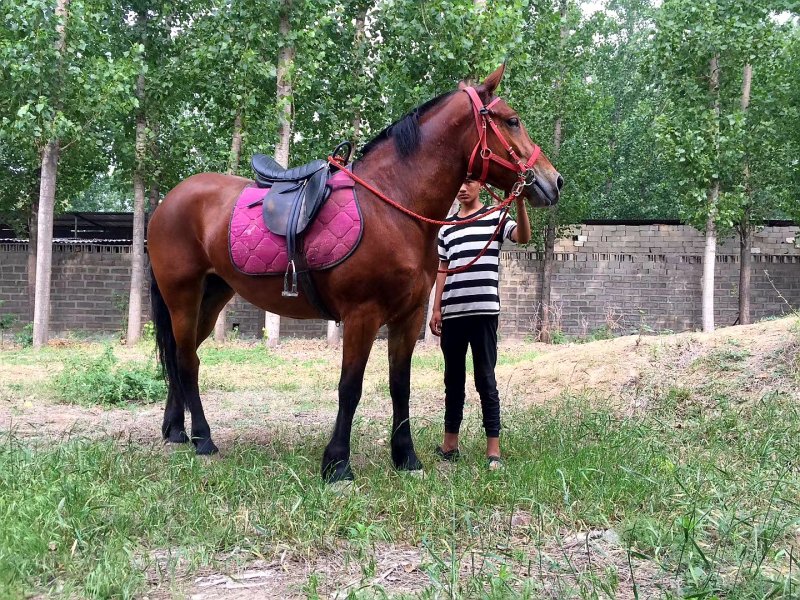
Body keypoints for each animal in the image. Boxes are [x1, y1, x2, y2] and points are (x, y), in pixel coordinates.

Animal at [147, 64, 563, 482]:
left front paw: (406, 457)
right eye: (512, 120)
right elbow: (350, 386)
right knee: (187, 361)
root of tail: (168, 202)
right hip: (182, 295)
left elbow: (400, 385)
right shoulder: (362, 315)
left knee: (182, 356)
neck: (393, 206)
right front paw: (337, 463)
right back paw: (203, 439)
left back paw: (177, 431)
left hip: (212, 295)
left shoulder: (409, 317)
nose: (553, 181)